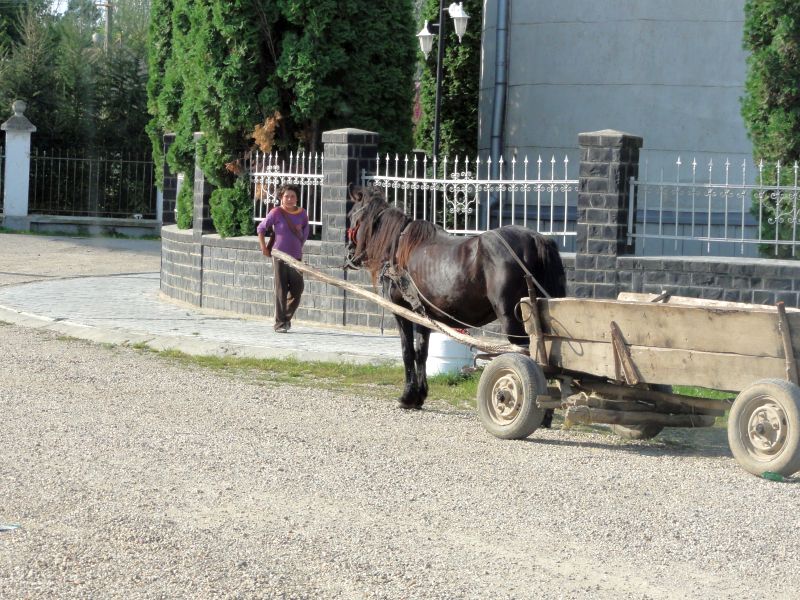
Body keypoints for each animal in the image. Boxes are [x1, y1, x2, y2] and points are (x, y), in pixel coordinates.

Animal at [346, 188, 568, 410]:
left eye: (351, 216)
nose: (349, 253)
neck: (399, 249)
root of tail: (535, 238)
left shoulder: (403, 312)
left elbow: (407, 352)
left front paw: (407, 396)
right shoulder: (423, 315)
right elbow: (421, 352)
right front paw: (419, 395)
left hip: (513, 321)